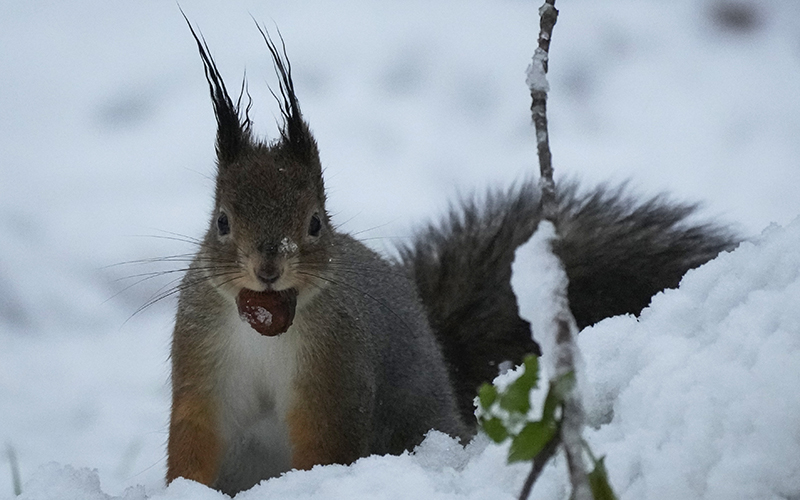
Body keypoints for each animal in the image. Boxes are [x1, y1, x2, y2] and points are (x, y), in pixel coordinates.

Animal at [169, 21, 736, 494]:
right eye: (221, 222)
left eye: (314, 223)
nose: (267, 270)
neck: (264, 328)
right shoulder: (201, 363)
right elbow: (192, 441)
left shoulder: (336, 370)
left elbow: (325, 447)